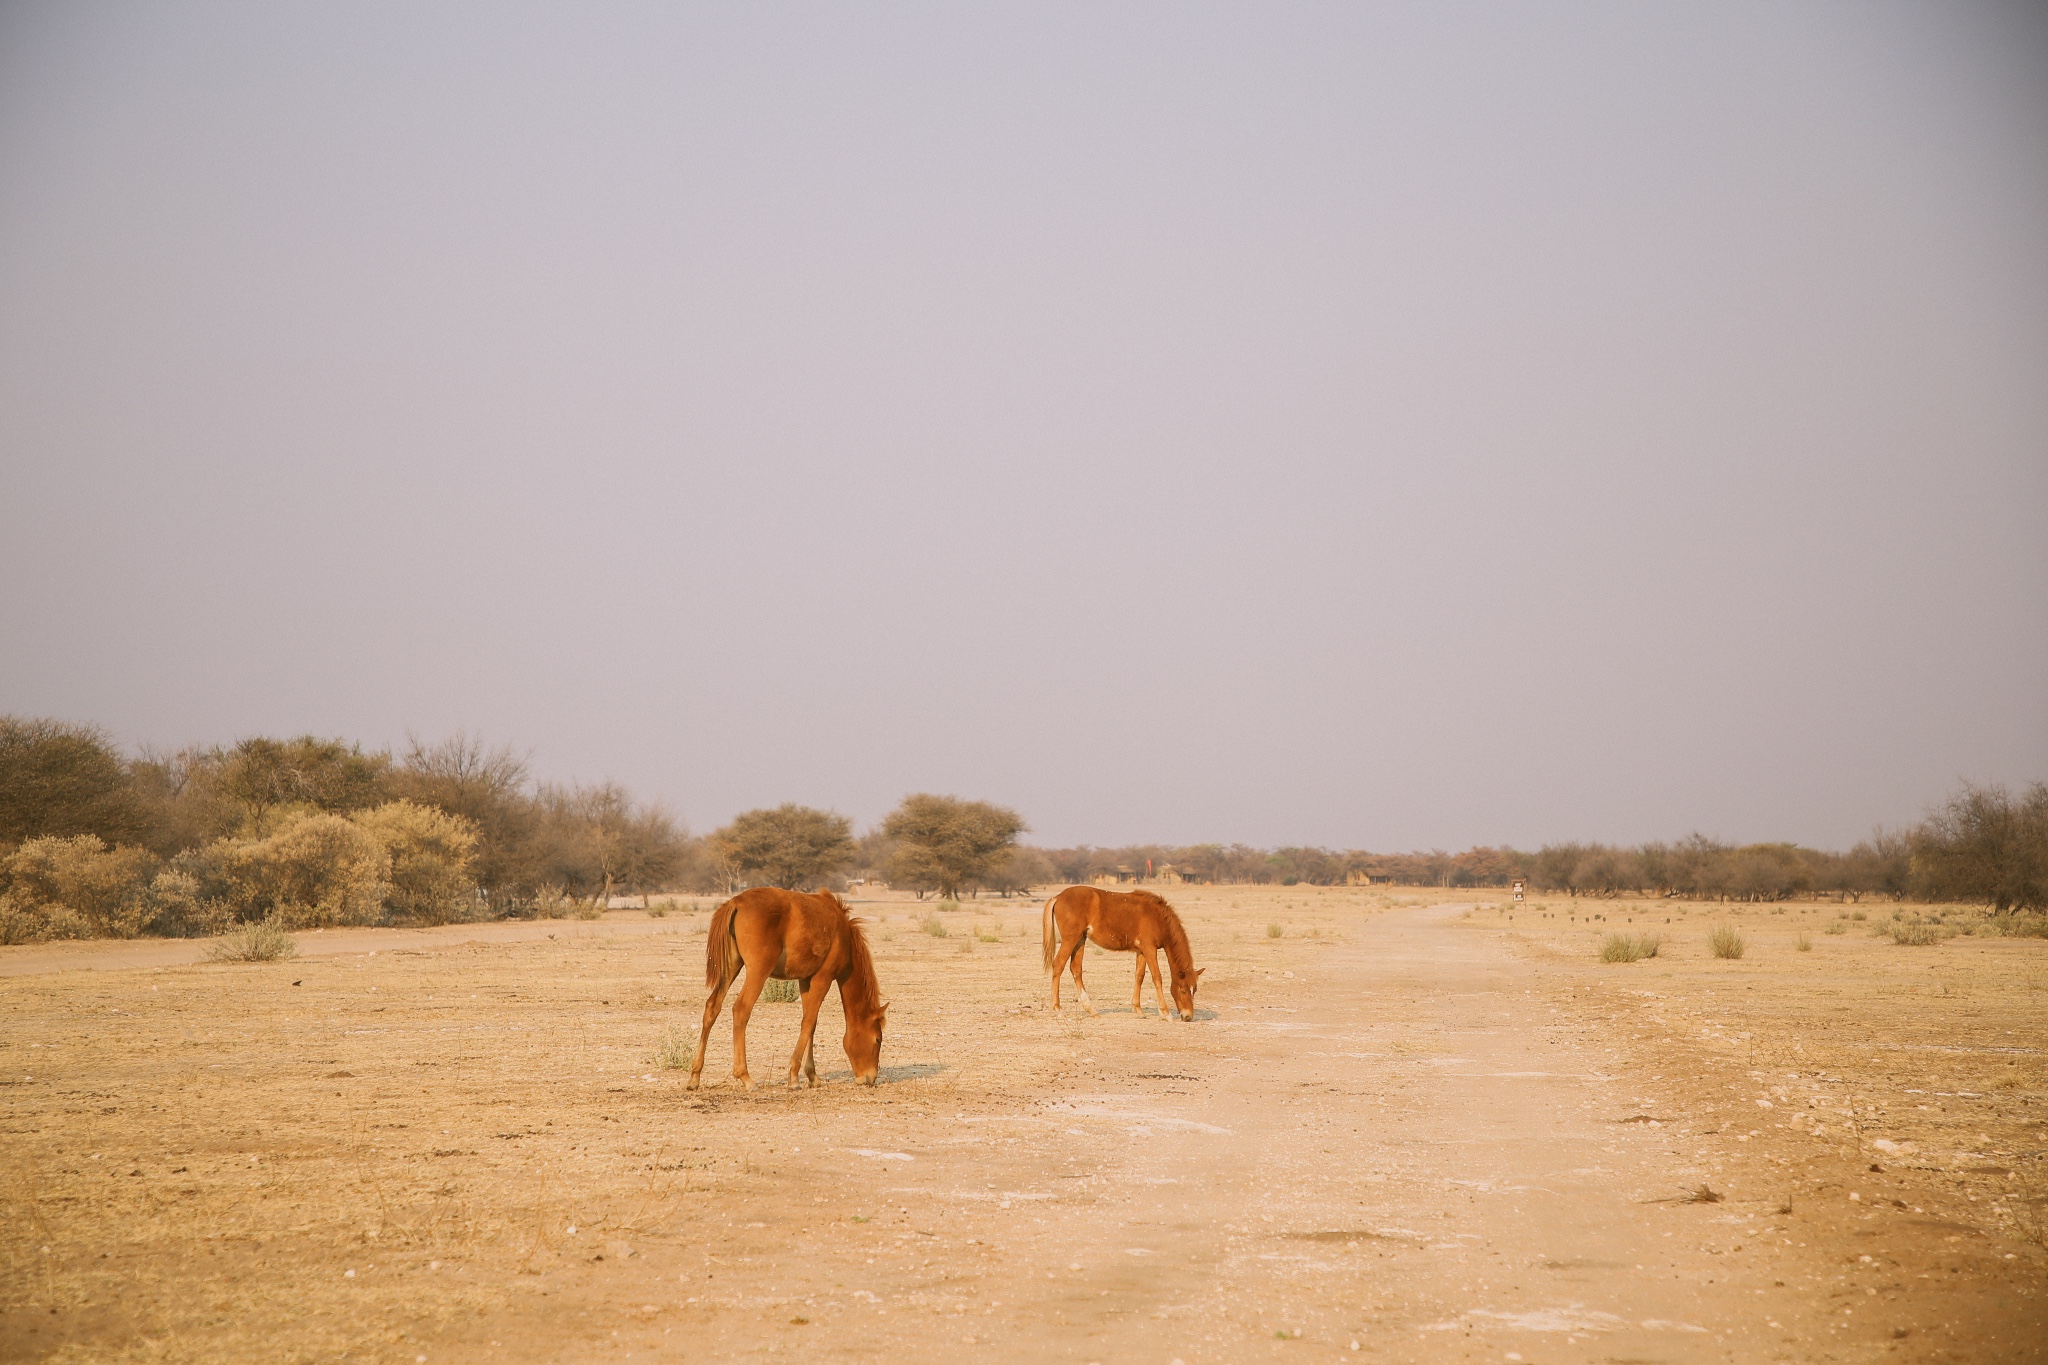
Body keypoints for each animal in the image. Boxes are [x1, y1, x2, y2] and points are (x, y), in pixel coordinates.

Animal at [688, 892, 888, 1096]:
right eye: (877, 1039)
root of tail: (736, 902)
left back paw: (695, 1076)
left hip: (731, 966)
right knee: (741, 1009)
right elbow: (808, 1022)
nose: (870, 1078)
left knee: (712, 1007)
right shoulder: (823, 978)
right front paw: (793, 1077)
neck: (843, 935)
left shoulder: (805, 980)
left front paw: (812, 1076)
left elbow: (811, 1023)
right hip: (757, 971)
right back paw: (745, 1077)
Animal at [1040, 888, 1196, 1023]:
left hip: (1080, 940)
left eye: (1194, 990)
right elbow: (1157, 978)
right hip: (1070, 940)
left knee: (1076, 969)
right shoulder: (1150, 949)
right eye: (1183, 990)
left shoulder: (1142, 951)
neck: (1157, 916)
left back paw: (1091, 1010)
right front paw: (1165, 1013)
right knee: (1058, 965)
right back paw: (1058, 1009)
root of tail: (1058, 897)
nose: (1188, 1016)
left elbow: (1139, 976)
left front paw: (1138, 1010)